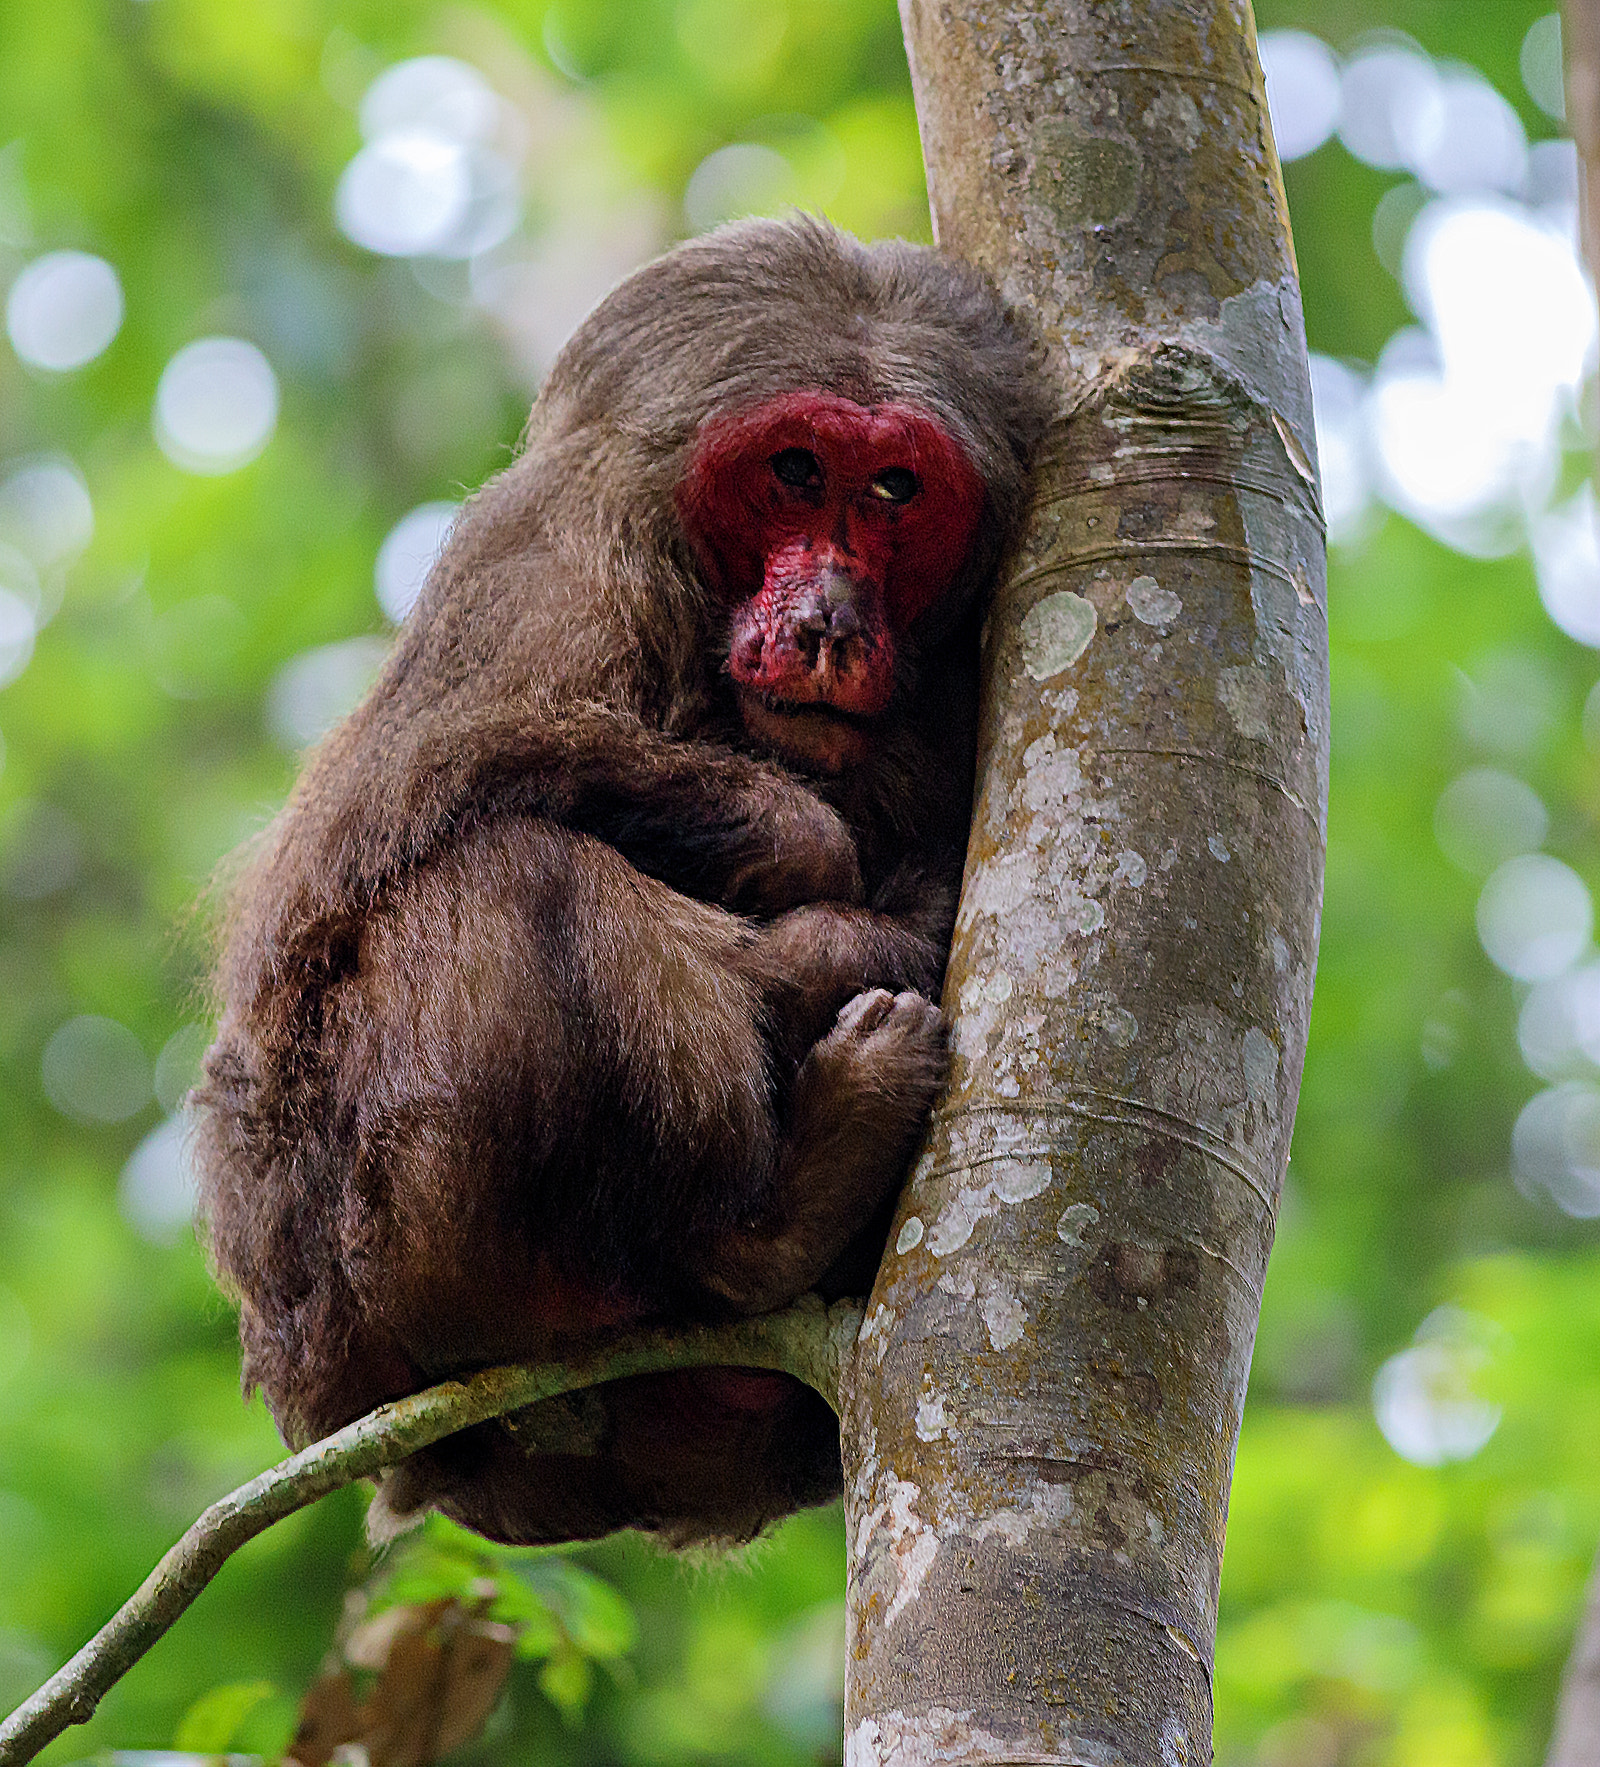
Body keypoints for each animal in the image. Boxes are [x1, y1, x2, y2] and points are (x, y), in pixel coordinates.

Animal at [190, 217, 1046, 1547]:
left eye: (894, 490)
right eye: (794, 472)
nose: (828, 616)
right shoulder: (563, 546)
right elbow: (402, 805)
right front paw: (827, 902)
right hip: (381, 1265)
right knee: (514, 873)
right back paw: (759, 1230)